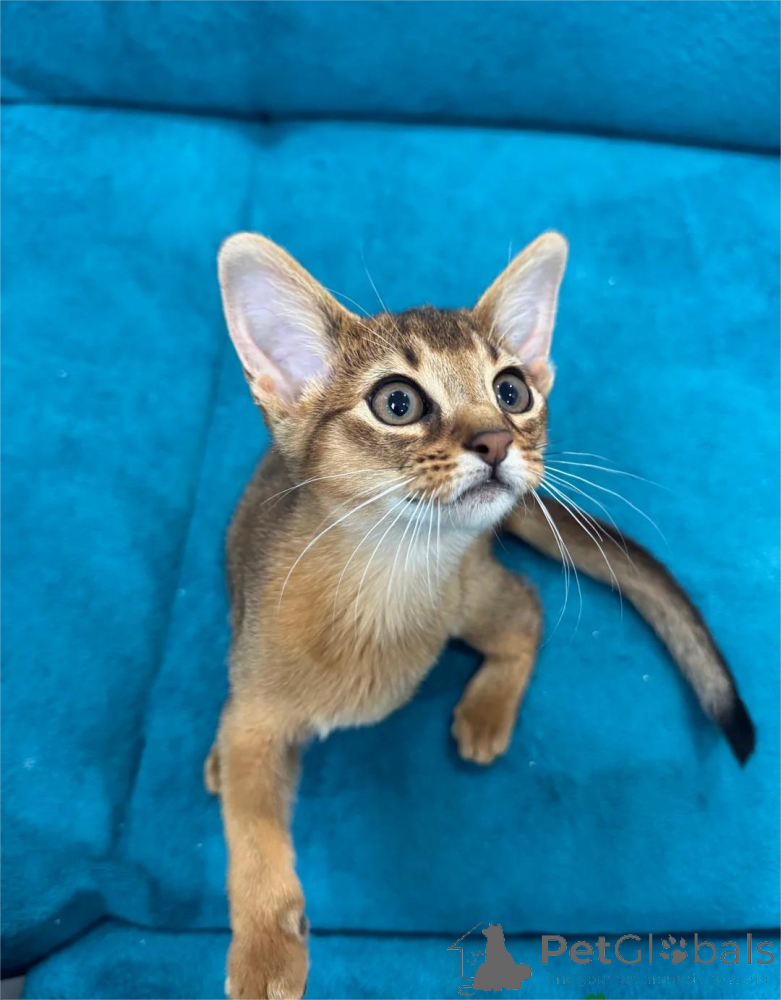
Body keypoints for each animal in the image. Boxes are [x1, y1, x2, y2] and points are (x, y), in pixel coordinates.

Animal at [205, 231, 755, 999]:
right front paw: (265, 950)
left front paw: (265, 958)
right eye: (397, 402)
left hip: (472, 600)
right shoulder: (255, 715)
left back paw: (487, 711)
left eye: (511, 390)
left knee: (527, 609)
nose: (497, 440)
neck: (380, 583)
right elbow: (254, 838)